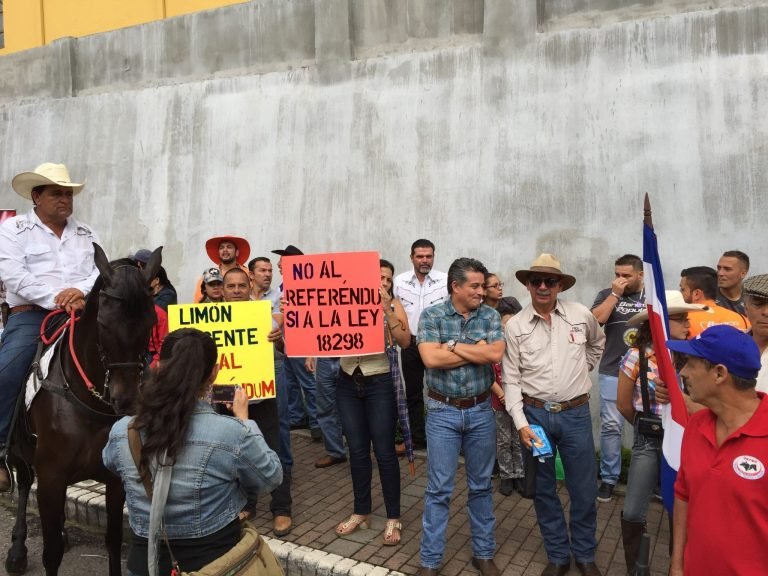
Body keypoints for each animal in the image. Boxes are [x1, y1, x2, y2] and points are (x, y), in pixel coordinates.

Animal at [4, 244, 162, 576]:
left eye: (150, 324)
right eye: (103, 323)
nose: (126, 399)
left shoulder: (115, 479)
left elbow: (113, 541)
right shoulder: (50, 476)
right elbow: (51, 553)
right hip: (22, 450)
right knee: (23, 485)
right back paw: (17, 550)